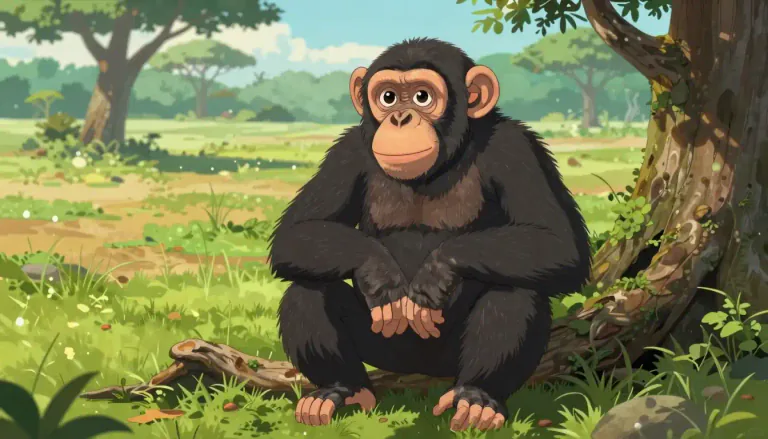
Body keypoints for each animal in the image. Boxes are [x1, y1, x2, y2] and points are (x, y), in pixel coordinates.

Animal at [268, 37, 591, 431]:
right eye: (388, 97)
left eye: (422, 97)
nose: (400, 117)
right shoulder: (347, 152)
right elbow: (295, 234)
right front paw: (381, 276)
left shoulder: (517, 147)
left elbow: (558, 244)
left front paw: (436, 276)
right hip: (383, 350)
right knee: (306, 290)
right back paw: (339, 390)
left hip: (448, 358)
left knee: (516, 290)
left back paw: (477, 398)